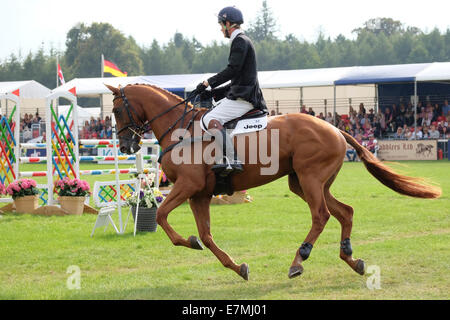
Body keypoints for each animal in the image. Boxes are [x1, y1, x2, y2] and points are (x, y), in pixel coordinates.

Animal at [104, 84, 440, 282]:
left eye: (117, 110)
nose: (126, 145)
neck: (181, 130)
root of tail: (335, 128)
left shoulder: (187, 187)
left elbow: (162, 216)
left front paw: (189, 242)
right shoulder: (200, 194)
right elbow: (208, 236)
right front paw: (236, 266)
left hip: (310, 179)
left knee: (321, 216)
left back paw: (299, 260)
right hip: (304, 183)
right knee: (345, 212)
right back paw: (351, 258)